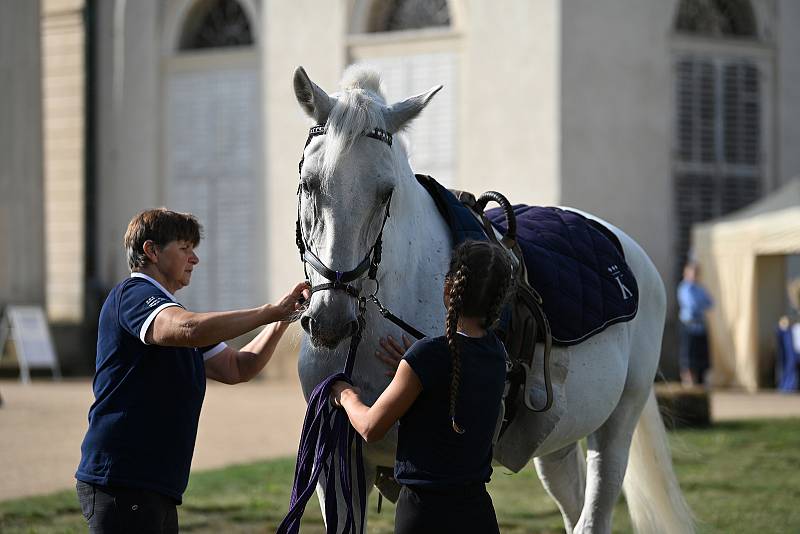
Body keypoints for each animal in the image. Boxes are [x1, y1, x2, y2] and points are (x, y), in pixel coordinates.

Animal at [294, 63, 692, 534]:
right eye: (308, 183)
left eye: (386, 192)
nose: (331, 321)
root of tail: (628, 251)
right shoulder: (337, 470)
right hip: (557, 441)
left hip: (618, 426)